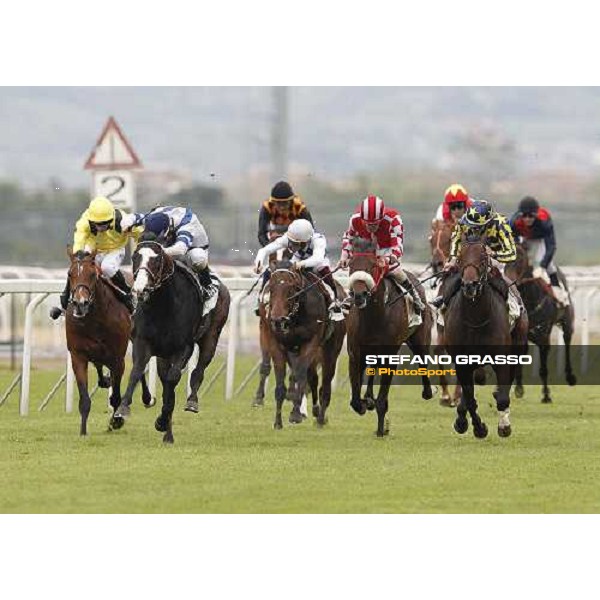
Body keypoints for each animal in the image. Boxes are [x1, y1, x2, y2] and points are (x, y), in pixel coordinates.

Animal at [115, 238, 230, 440]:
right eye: (135, 257)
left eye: (156, 260)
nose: (140, 289)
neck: (163, 306)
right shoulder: (142, 341)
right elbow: (137, 371)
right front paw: (123, 408)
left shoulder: (184, 347)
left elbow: (173, 378)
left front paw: (162, 420)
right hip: (163, 354)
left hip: (212, 336)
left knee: (198, 370)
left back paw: (191, 402)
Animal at [258, 260, 346, 428]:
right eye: (271, 287)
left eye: (291, 288)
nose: (277, 320)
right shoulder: (276, 344)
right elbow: (282, 382)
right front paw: (278, 422)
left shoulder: (310, 343)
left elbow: (299, 376)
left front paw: (295, 415)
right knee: (312, 378)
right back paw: (315, 410)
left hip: (330, 350)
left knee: (325, 383)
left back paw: (321, 418)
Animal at [344, 251, 434, 438]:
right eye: (351, 265)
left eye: (373, 266)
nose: (359, 295)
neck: (374, 317)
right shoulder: (355, 355)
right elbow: (355, 400)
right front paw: (365, 402)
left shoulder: (390, 357)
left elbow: (382, 400)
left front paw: (381, 430)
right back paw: (368, 397)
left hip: (420, 339)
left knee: (423, 361)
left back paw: (428, 391)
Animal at [442, 237, 528, 438]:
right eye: (460, 260)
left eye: (483, 260)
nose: (470, 285)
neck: (476, 319)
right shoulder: (462, 361)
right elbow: (470, 398)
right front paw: (477, 427)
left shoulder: (502, 358)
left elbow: (503, 397)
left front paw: (504, 426)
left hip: (519, 346)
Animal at [506, 240, 576, 404]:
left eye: (520, 260)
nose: (509, 280)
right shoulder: (520, 334)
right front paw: (518, 388)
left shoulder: (544, 332)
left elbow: (543, 367)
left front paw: (546, 395)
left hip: (567, 320)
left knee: (567, 340)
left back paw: (570, 376)